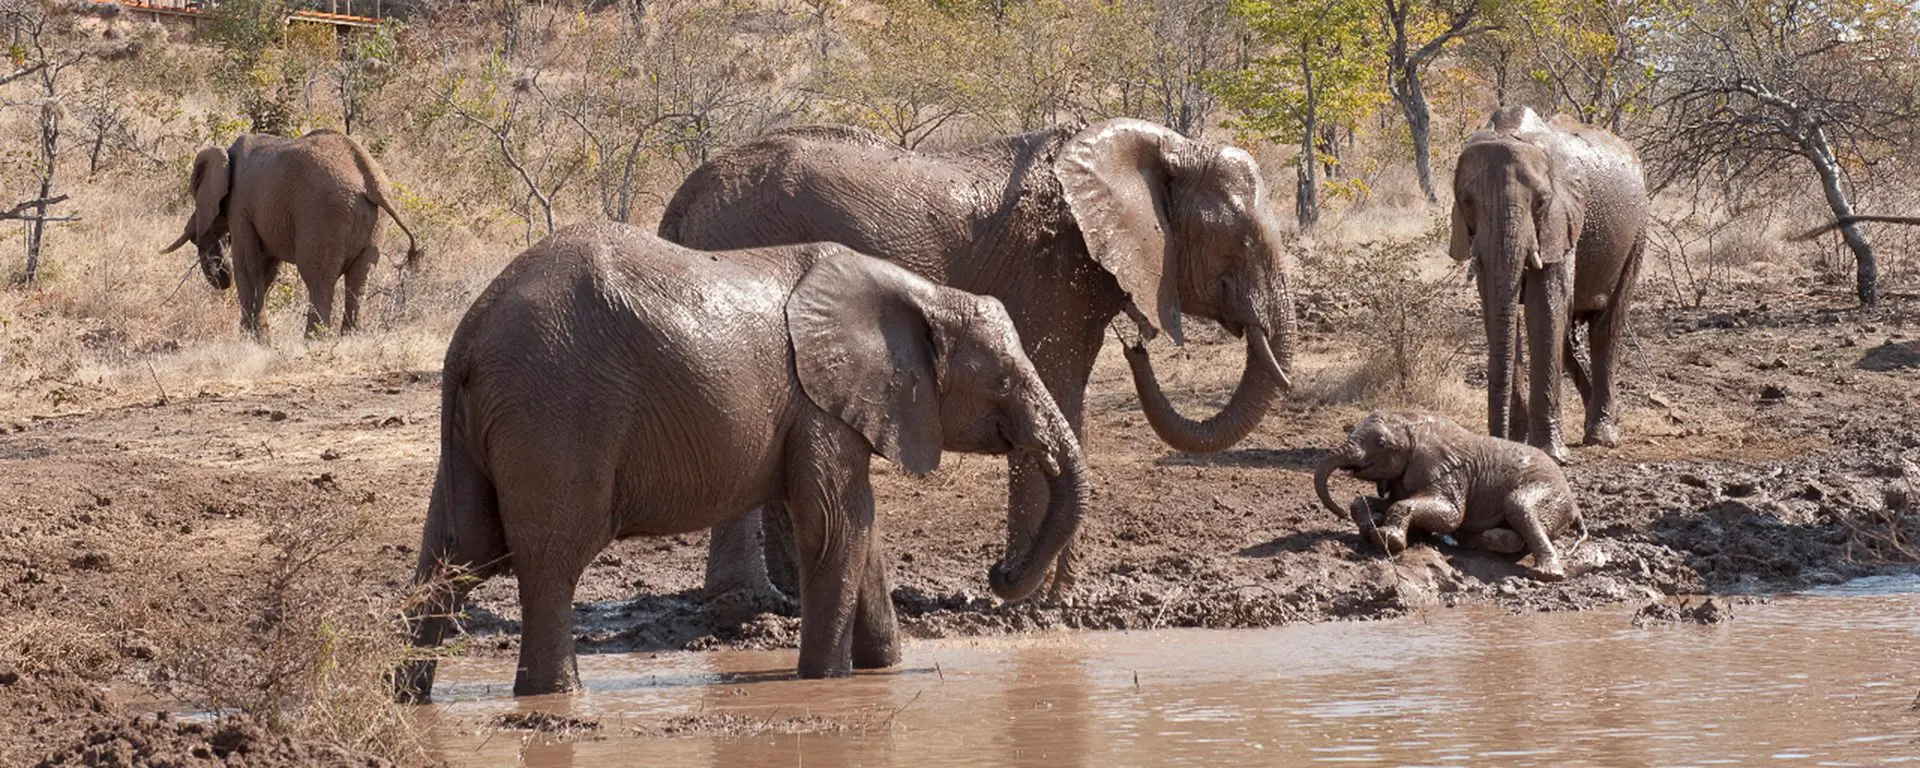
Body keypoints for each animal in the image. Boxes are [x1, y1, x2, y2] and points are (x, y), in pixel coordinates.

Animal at [163, 128, 422, 339]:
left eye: (194, 190)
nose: (220, 275)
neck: (225, 153)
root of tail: (371, 178)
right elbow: (266, 271)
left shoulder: (240, 204)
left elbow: (248, 266)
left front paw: (253, 343)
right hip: (374, 222)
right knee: (359, 280)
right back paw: (350, 339)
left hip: (324, 215)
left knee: (317, 278)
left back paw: (313, 342)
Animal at [393, 221, 1082, 702]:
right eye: (1003, 380)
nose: (999, 574)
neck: (921, 294)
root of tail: (469, 336)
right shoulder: (820, 404)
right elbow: (834, 527)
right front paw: (826, 681)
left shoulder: (828, 407)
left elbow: (861, 530)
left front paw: (883, 670)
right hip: (555, 408)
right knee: (550, 562)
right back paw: (554, 697)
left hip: (486, 425)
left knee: (454, 556)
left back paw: (404, 695)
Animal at [660, 121, 1305, 622]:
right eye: (1241, 242)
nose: (1137, 345)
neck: (1161, 146)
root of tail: (682, 199)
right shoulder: (1050, 271)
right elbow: (1053, 392)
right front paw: (1036, 605)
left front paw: (1057, 601)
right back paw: (748, 607)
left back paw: (789, 601)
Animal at [1313, 410, 1582, 579]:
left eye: (1381, 443)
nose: (1338, 512)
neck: (1415, 424)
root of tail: (1576, 506)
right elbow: (1376, 501)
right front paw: (1370, 526)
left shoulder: (1450, 475)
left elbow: (1450, 515)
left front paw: (1386, 539)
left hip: (1549, 493)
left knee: (1518, 505)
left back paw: (1544, 573)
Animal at [1451, 105, 1651, 462]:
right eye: (1467, 201)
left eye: (1542, 201)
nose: (1496, 441)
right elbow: (1498, 310)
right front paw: (1518, 444)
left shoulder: (1562, 219)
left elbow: (1544, 308)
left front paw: (1551, 454)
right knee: (1570, 337)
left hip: (1637, 230)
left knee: (1607, 326)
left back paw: (1602, 435)